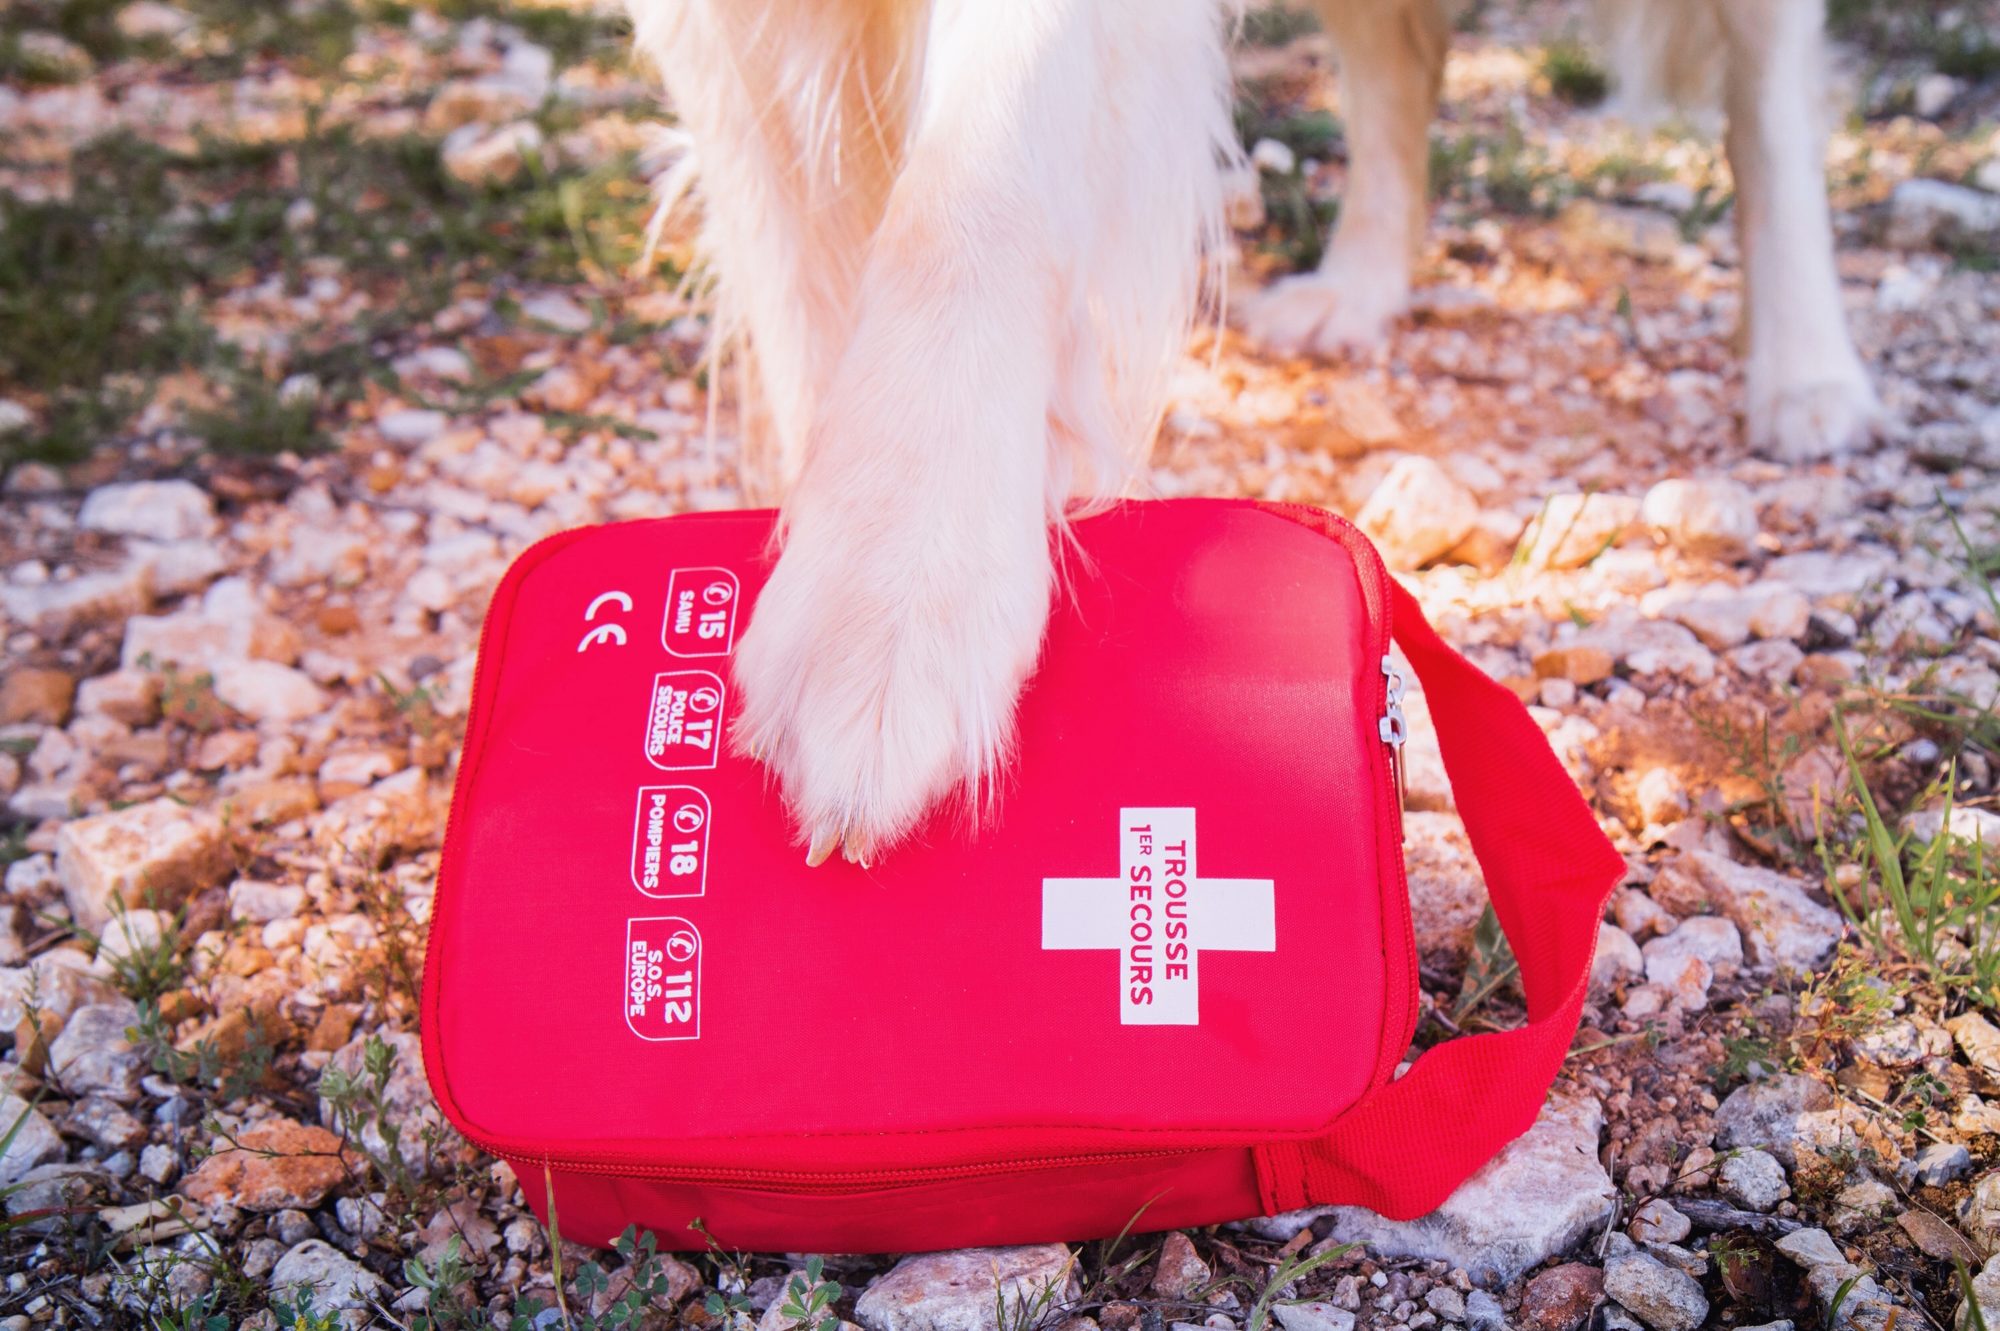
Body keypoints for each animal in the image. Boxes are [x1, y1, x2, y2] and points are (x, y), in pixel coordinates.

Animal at [624, 0, 1872, 859]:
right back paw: (1355, 287)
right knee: (1402, 59)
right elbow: (803, 264)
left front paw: (892, 598)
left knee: (1769, 90)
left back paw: (1805, 368)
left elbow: (973, 183)